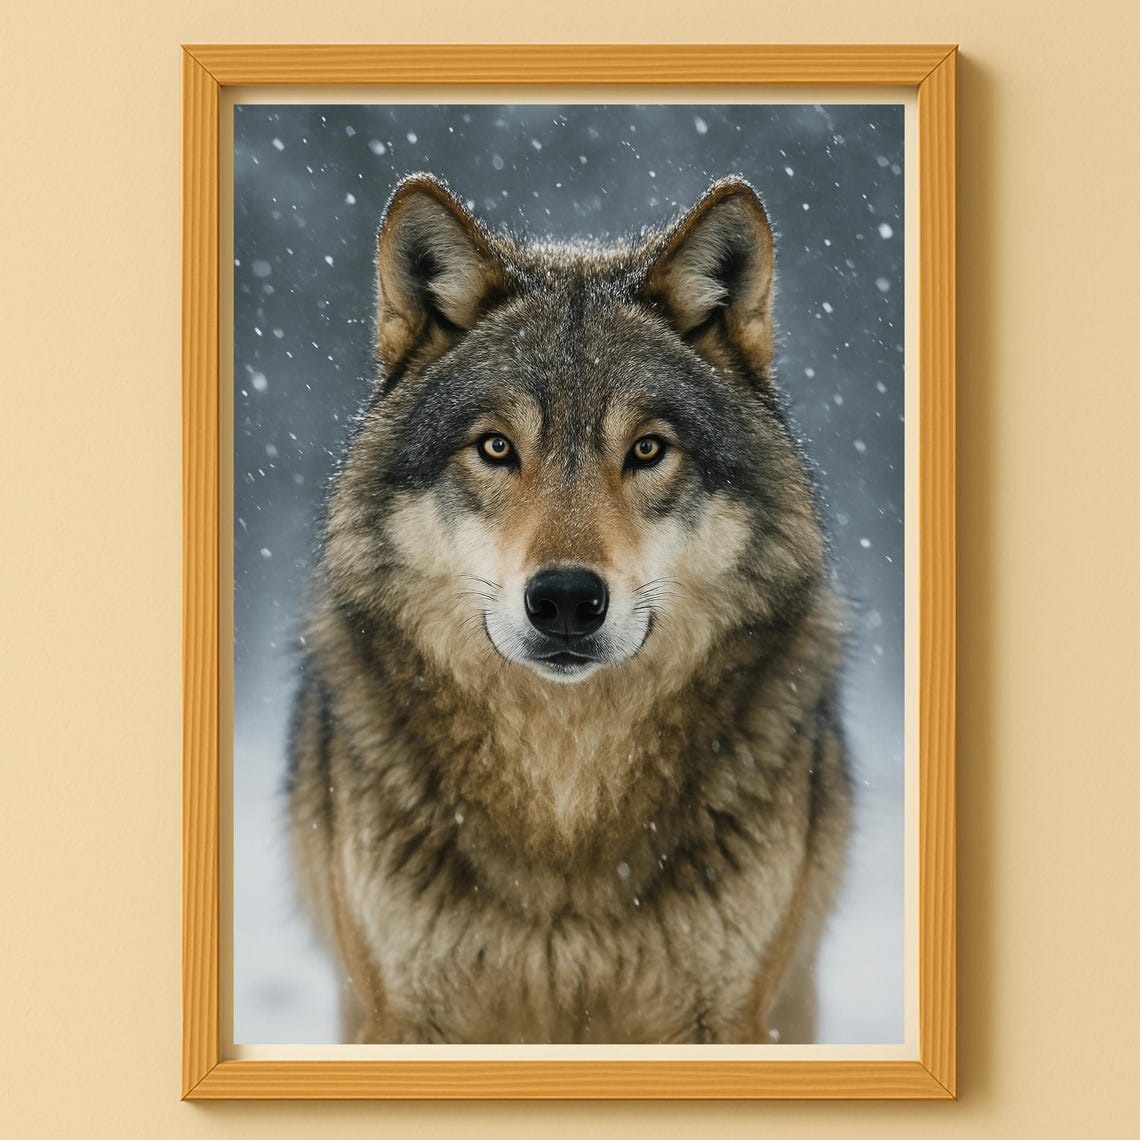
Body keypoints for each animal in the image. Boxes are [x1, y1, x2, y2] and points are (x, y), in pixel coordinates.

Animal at [287, 172, 850, 1044]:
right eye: (495, 447)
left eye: (648, 450)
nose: (564, 601)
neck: (566, 798)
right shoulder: (403, 1016)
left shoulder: (728, 1019)